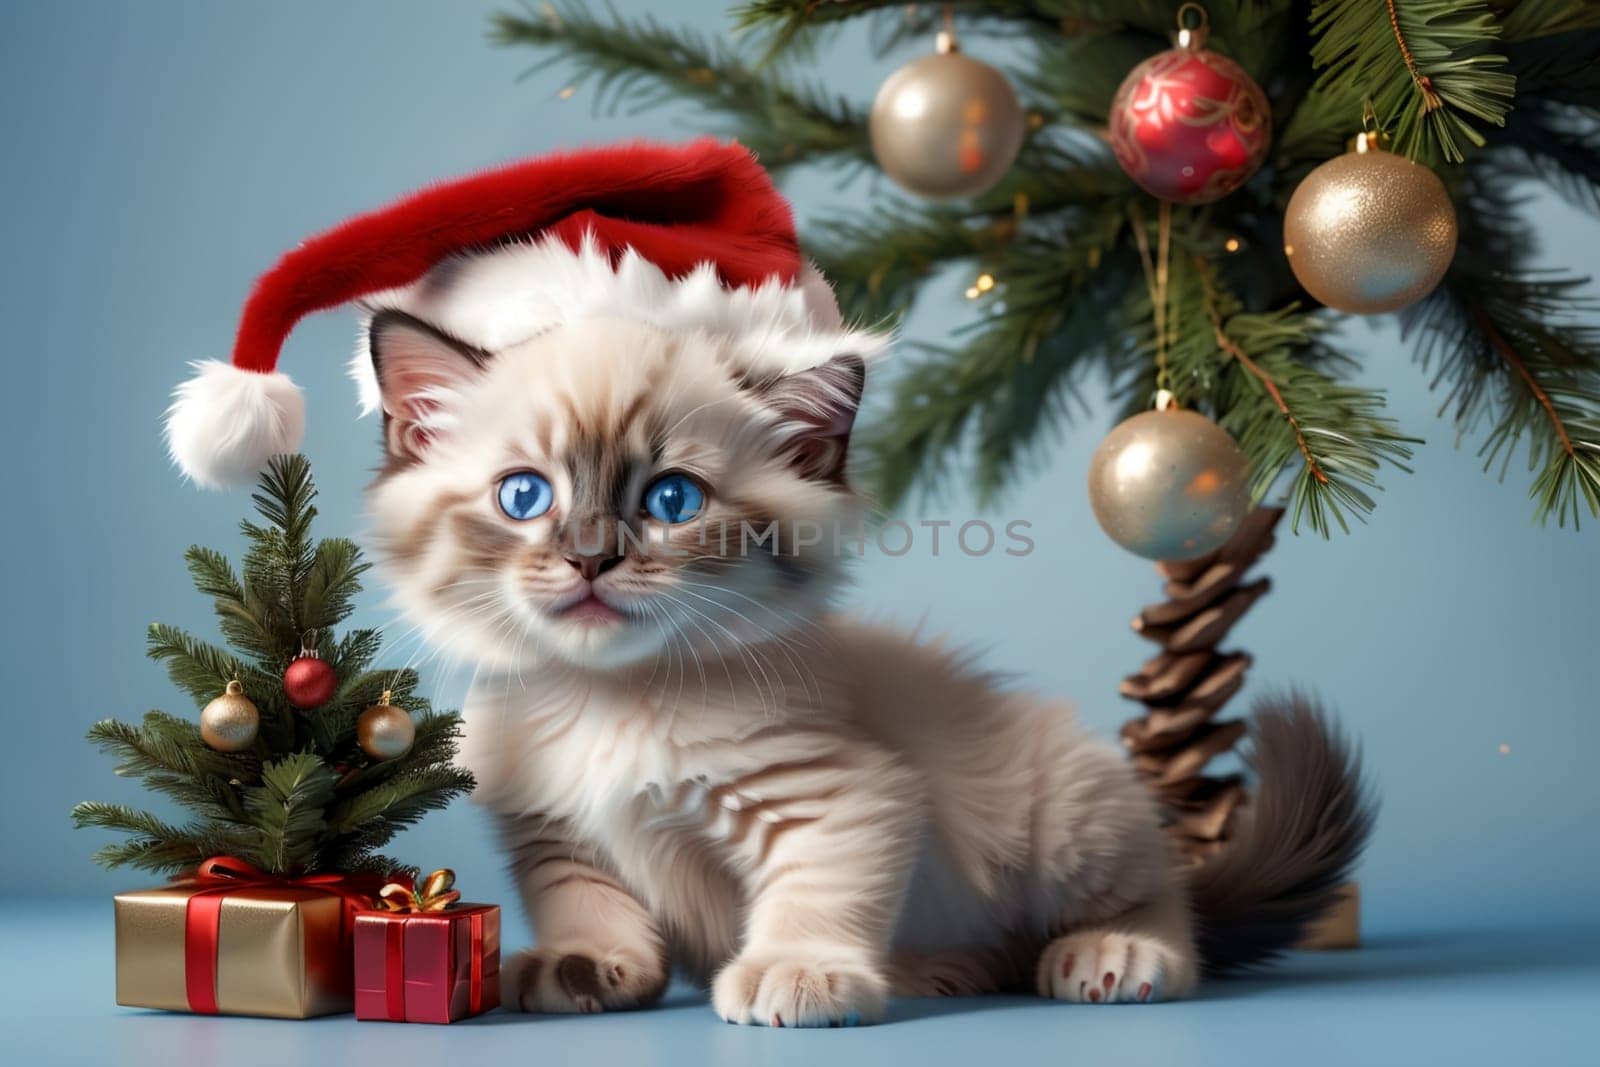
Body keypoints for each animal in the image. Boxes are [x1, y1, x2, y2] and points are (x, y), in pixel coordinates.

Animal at [366, 259, 1376, 1023]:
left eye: (672, 500)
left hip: (1068, 817)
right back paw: (942, 970)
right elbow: (590, 903)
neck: (607, 701)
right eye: (524, 495)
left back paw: (1113, 954)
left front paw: (798, 973)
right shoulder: (554, 829)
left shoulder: (841, 795)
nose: (589, 559)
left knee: (1170, 907)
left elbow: (815, 892)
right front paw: (584, 964)